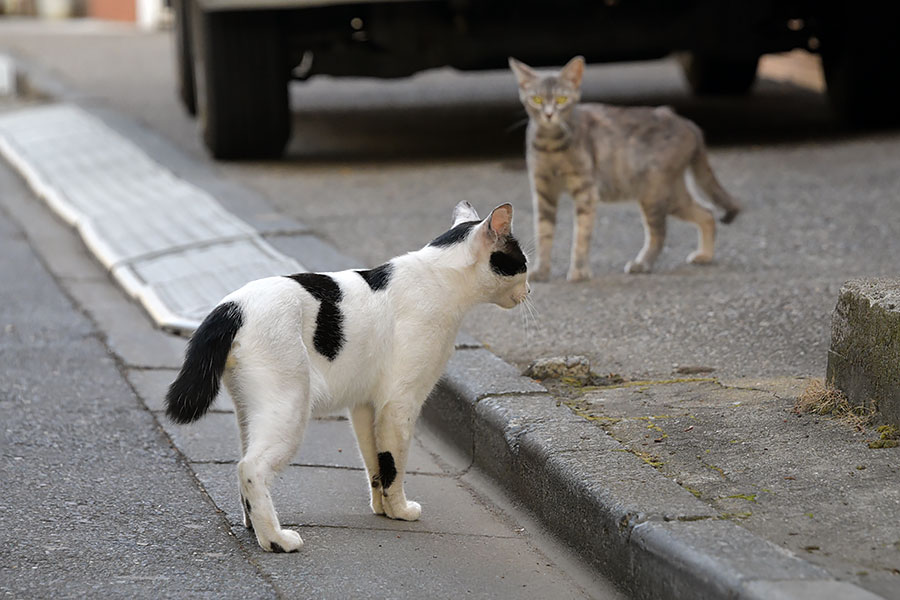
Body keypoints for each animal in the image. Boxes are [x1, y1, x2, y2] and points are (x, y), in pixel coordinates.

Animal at [167, 200, 528, 552]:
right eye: (522, 261)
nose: (529, 288)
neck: (439, 278)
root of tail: (231, 306)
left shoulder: (365, 406)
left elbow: (375, 462)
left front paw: (383, 509)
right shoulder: (399, 404)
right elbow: (394, 463)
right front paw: (400, 510)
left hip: (251, 413)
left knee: (245, 462)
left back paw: (253, 525)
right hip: (289, 408)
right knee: (250, 468)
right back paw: (275, 540)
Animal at [510, 56, 740, 282]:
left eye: (561, 100)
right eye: (536, 100)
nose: (549, 115)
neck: (551, 146)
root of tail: (689, 124)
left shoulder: (586, 192)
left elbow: (581, 235)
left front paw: (579, 271)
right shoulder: (543, 193)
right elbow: (543, 233)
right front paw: (541, 270)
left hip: (654, 194)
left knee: (660, 233)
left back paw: (642, 264)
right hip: (673, 195)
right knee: (707, 213)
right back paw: (705, 255)